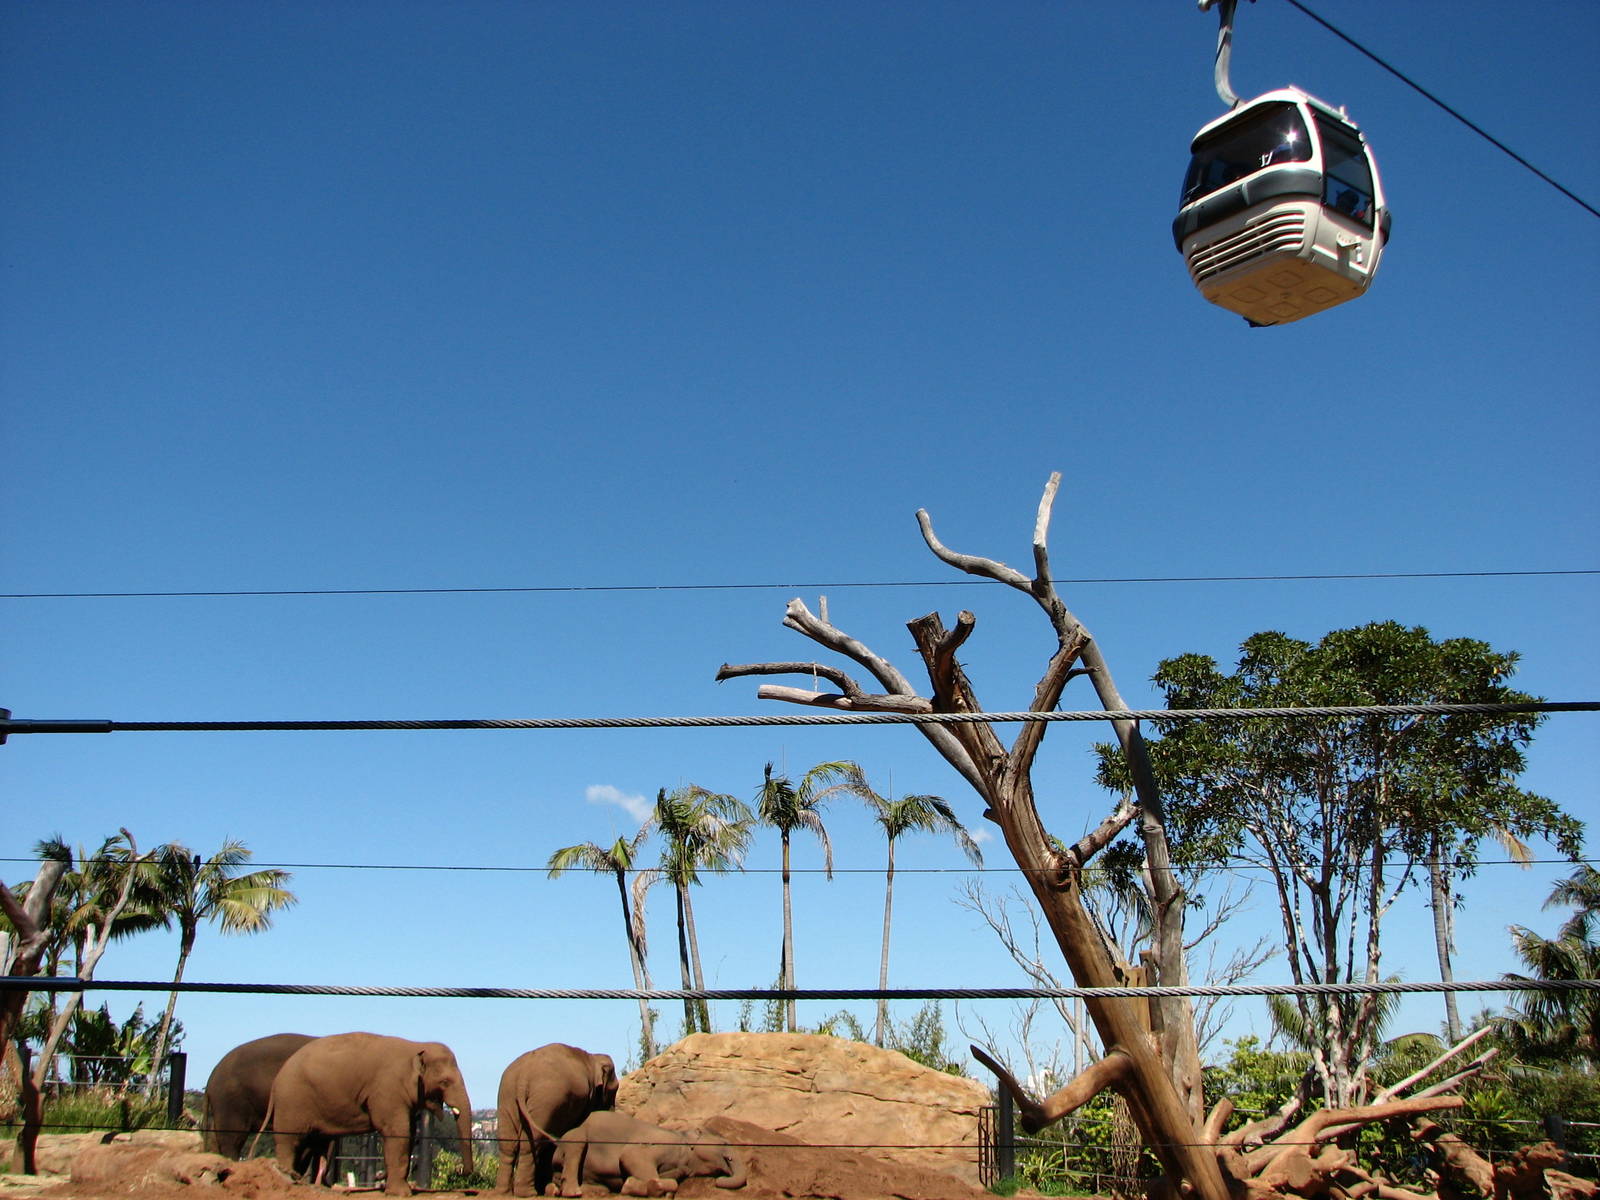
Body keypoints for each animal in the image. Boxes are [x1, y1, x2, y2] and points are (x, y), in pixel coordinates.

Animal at [266, 1032, 474, 1197]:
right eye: (445, 1082)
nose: (460, 1171)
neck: (416, 1046)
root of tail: (277, 1080)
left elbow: (409, 1131)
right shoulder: (388, 1089)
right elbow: (398, 1131)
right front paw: (401, 1194)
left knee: (309, 1143)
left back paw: (302, 1181)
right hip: (291, 1102)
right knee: (290, 1140)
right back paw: (288, 1178)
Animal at [495, 1043, 618, 1196]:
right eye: (614, 1090)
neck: (592, 1057)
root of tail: (523, 1077)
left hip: (507, 1096)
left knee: (508, 1143)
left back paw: (504, 1192)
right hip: (548, 1100)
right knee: (535, 1141)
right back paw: (529, 1193)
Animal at [552, 1111, 747, 1197]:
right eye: (725, 1143)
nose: (719, 1180)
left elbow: (674, 1180)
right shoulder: (662, 1141)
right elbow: (631, 1155)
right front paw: (631, 1184)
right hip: (574, 1138)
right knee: (576, 1146)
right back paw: (572, 1192)